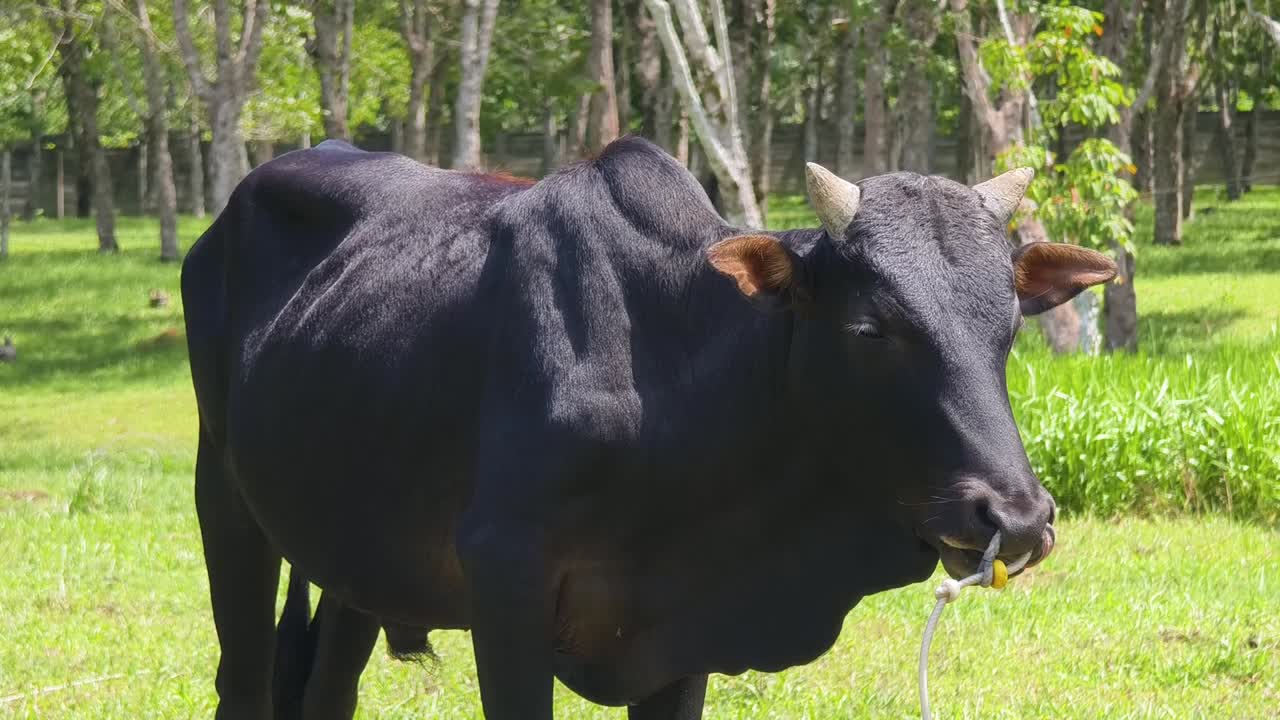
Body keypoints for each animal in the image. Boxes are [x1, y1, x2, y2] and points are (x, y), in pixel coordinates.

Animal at [181, 136, 1115, 720]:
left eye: (1009, 324)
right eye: (870, 328)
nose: (1014, 517)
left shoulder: (682, 631)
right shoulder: (504, 585)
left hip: (354, 554)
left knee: (327, 691)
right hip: (224, 499)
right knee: (244, 685)